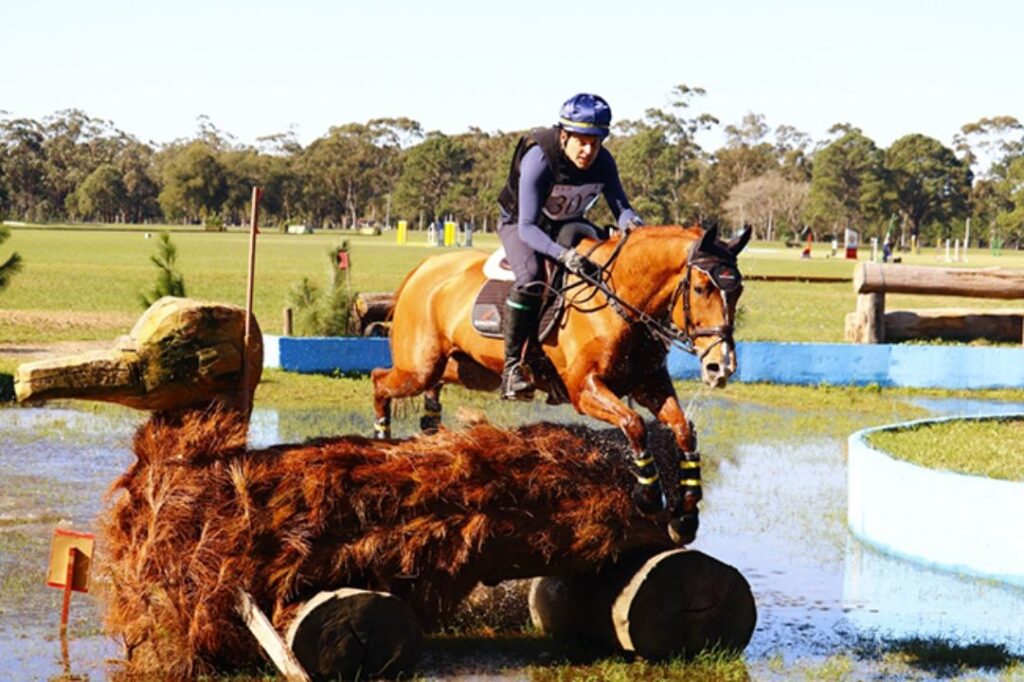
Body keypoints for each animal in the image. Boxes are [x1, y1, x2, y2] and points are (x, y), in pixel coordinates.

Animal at [372, 224, 749, 540]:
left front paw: (686, 513)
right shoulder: (585, 390)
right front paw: (648, 495)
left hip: (470, 369)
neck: (620, 300)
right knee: (380, 381)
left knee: (432, 385)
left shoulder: (649, 385)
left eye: (739, 290)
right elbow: (635, 424)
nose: (721, 367)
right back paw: (382, 438)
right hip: (419, 367)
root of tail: (426, 267)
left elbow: (684, 429)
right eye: (700, 288)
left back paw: (430, 427)